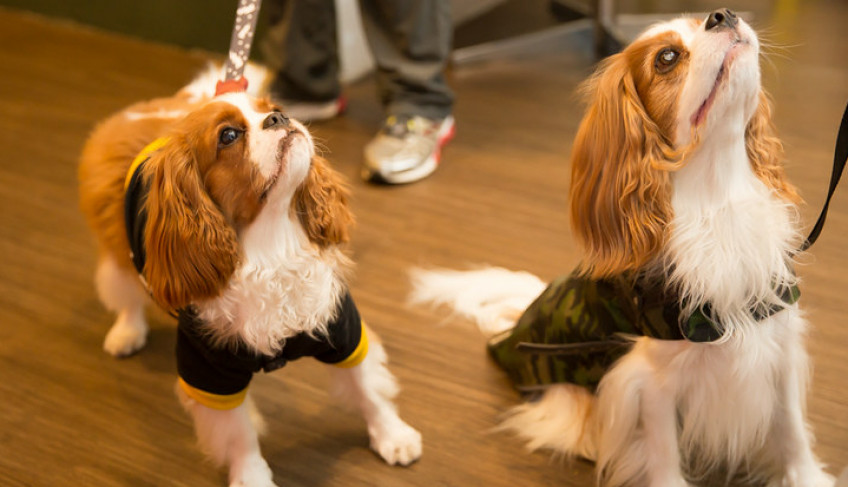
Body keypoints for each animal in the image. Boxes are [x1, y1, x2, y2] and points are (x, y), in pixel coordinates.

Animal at [78, 67, 420, 487]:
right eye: (228, 135)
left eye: (276, 107)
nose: (279, 118)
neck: (271, 245)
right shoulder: (207, 372)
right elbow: (239, 437)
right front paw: (251, 476)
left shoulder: (341, 329)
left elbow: (369, 389)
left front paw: (392, 435)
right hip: (119, 252)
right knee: (126, 297)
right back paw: (126, 333)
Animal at [410, 8, 836, 487]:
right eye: (667, 57)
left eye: (704, 18)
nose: (722, 14)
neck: (717, 202)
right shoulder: (648, 382)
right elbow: (664, 456)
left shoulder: (777, 346)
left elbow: (792, 430)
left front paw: (808, 477)